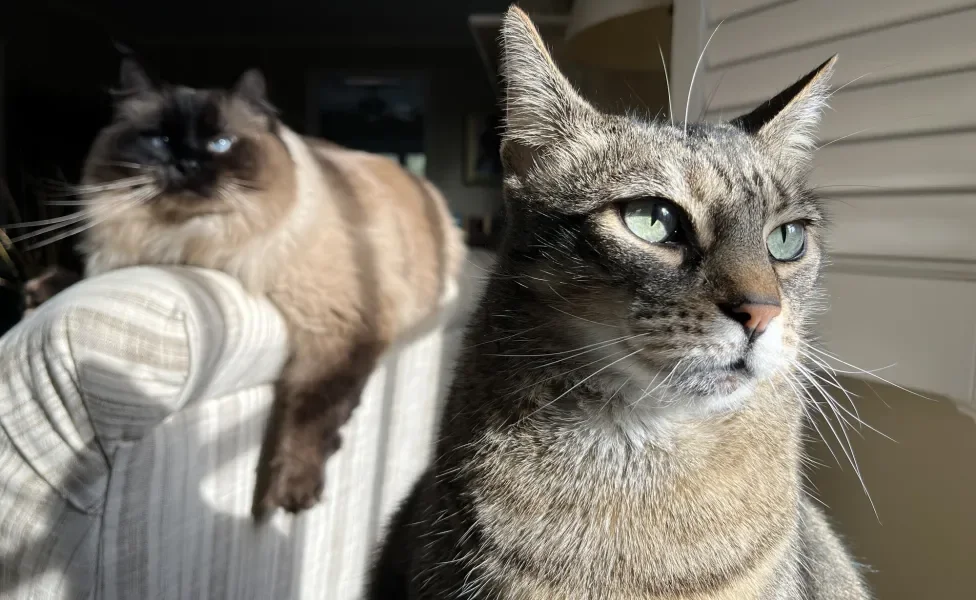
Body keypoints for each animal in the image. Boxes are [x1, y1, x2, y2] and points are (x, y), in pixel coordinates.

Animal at [77, 59, 466, 520]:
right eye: (159, 140)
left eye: (221, 143)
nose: (186, 164)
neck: (191, 248)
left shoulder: (337, 334)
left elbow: (310, 418)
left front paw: (292, 494)